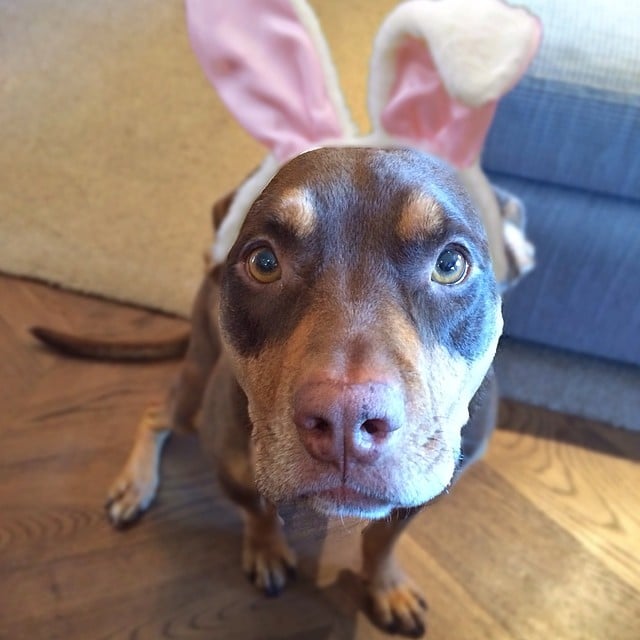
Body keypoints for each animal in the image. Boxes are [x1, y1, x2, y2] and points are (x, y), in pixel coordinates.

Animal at [33, 146, 504, 636]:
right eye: (264, 262)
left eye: (450, 264)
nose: (344, 421)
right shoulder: (228, 458)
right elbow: (256, 510)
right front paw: (266, 549)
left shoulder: (425, 488)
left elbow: (382, 539)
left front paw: (386, 586)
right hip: (196, 378)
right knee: (155, 412)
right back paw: (135, 484)